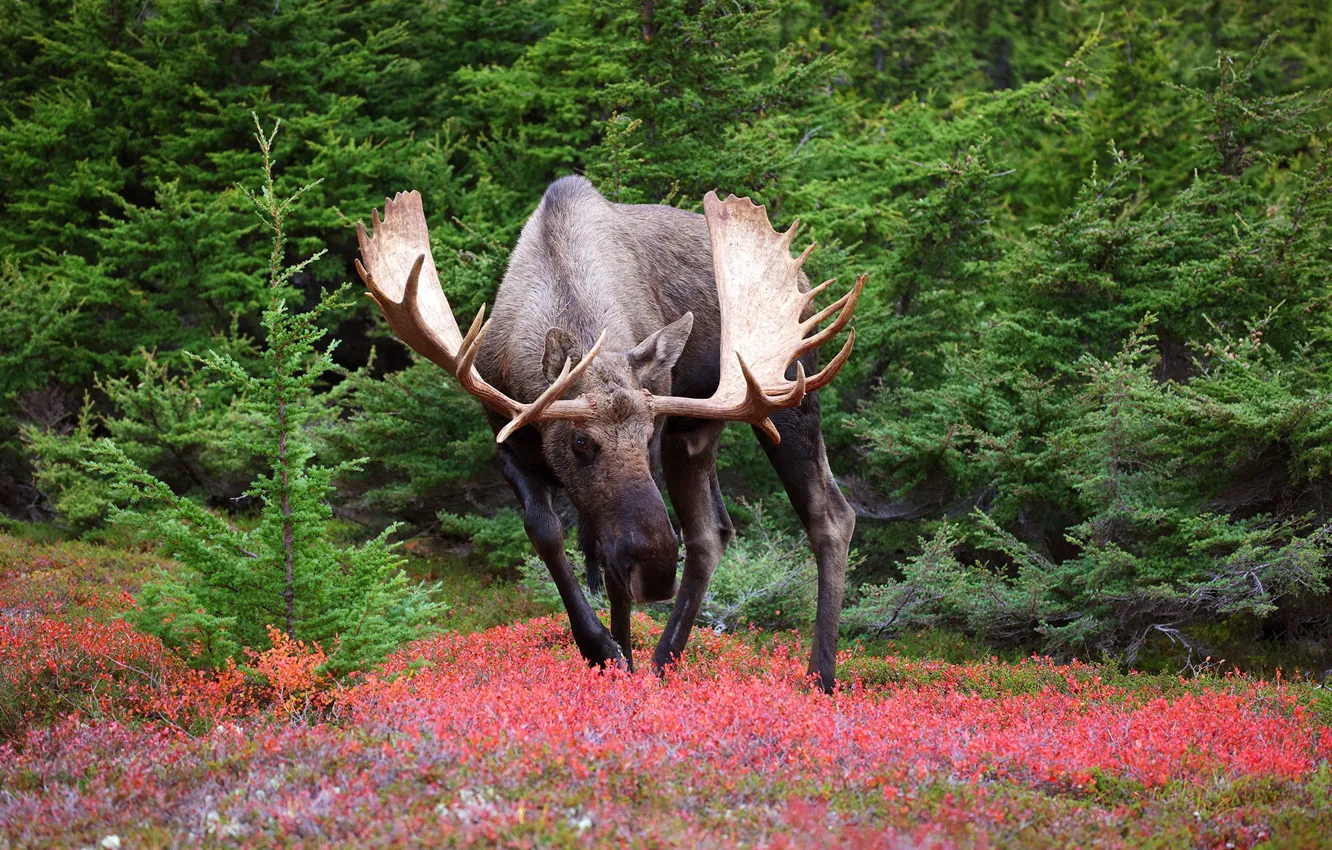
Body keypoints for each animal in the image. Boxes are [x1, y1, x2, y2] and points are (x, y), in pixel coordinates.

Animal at [355, 176, 862, 692]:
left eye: (647, 436)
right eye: (581, 441)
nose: (656, 572)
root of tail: (805, 286)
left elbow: (609, 567)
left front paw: (616, 657)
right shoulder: (508, 443)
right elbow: (546, 533)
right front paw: (603, 649)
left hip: (786, 395)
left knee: (829, 516)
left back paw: (820, 676)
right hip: (696, 431)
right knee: (710, 532)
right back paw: (664, 662)